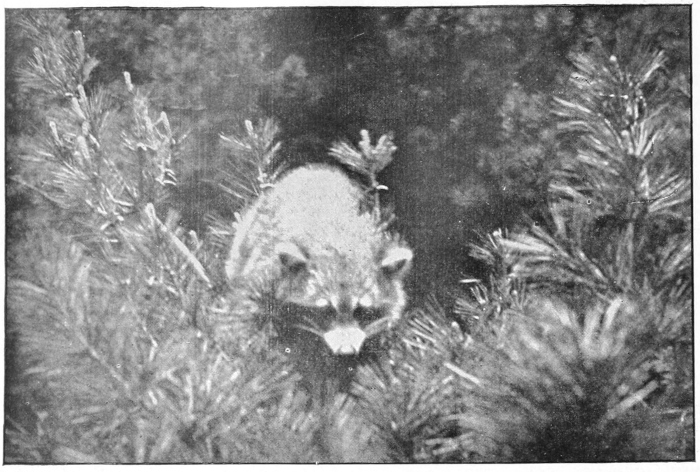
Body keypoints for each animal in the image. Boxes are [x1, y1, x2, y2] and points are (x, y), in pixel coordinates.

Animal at [224, 164, 413, 358]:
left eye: (361, 310)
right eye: (327, 309)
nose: (346, 352)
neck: (340, 241)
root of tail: (316, 168)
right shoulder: (267, 272)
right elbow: (247, 311)